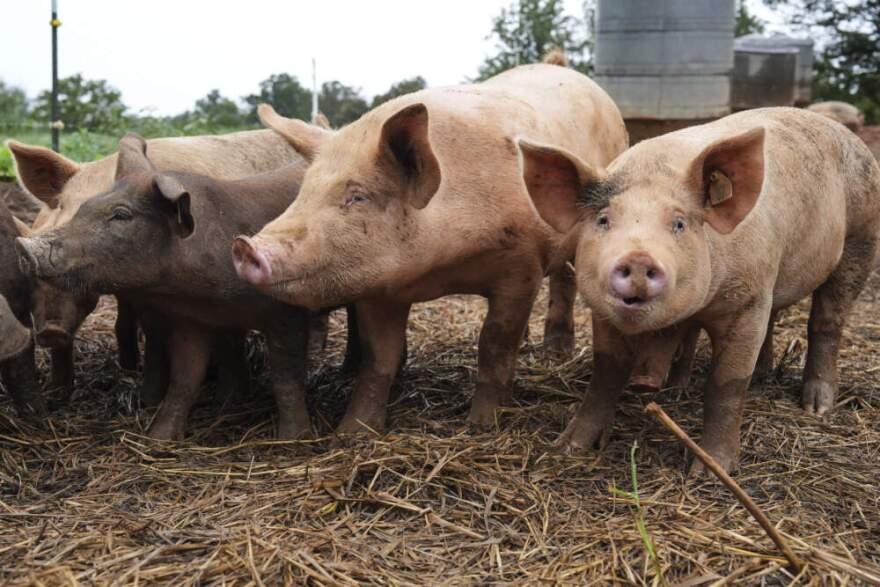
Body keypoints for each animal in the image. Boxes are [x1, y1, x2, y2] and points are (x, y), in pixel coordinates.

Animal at [232, 62, 629, 433]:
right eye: (304, 190)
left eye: (357, 196)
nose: (246, 246)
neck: (441, 269)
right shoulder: (379, 288)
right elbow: (378, 358)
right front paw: (352, 434)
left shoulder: (522, 265)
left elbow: (495, 344)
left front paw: (480, 425)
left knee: (565, 277)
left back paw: (555, 354)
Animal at [516, 107, 880, 472]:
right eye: (604, 220)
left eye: (679, 223)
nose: (638, 257)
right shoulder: (603, 313)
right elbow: (606, 373)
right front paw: (566, 449)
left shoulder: (746, 302)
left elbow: (726, 385)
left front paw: (709, 470)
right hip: (777, 277)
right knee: (773, 318)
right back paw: (746, 379)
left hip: (861, 239)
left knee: (826, 323)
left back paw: (817, 407)